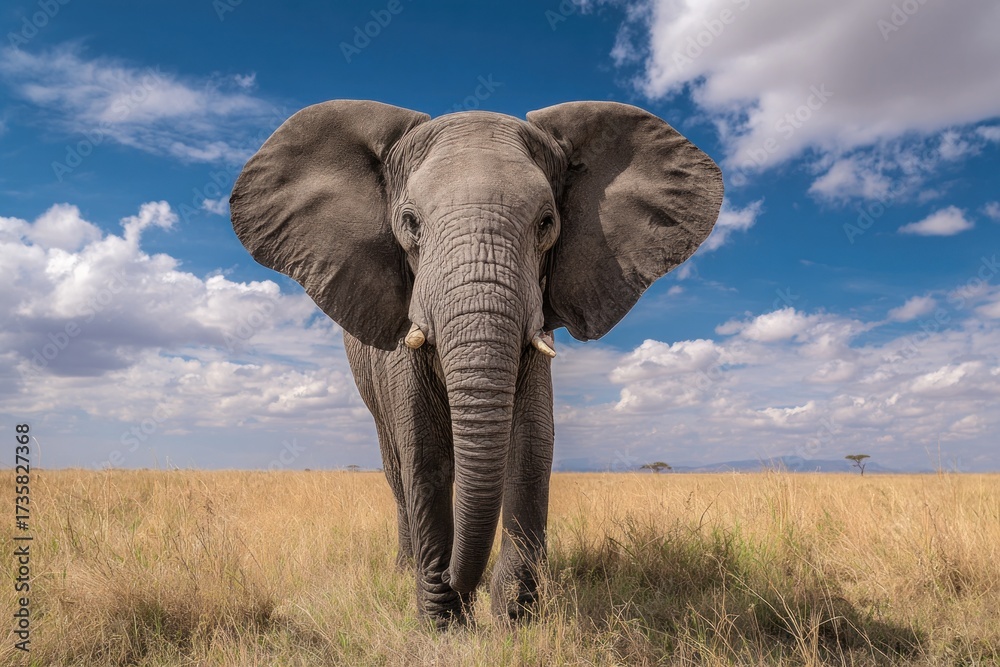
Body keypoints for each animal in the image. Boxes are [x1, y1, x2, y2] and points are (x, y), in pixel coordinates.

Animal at [229, 99, 723, 625]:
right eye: (410, 223)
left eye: (546, 223)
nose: (456, 581)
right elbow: (424, 451)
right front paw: (443, 623)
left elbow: (531, 444)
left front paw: (513, 618)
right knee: (396, 465)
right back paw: (406, 568)